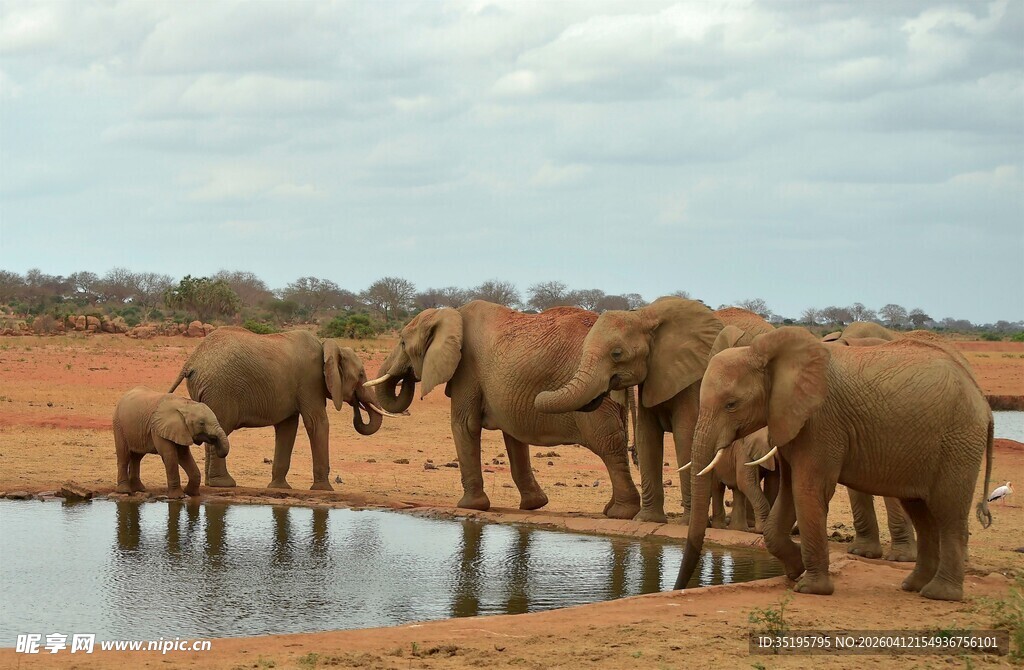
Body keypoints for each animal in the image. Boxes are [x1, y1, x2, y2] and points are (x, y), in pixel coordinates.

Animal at [169, 327, 395, 490]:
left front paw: (280, 488)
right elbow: (317, 423)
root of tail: (191, 361)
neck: (328, 347)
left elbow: (287, 428)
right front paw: (325, 489)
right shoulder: (310, 381)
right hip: (220, 390)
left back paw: (212, 484)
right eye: (362, 375)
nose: (357, 405)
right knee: (221, 428)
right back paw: (224, 484)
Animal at [365, 301, 641, 518]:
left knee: (609, 445)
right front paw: (533, 505)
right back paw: (610, 510)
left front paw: (469, 507)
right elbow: (514, 436)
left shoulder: (467, 369)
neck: (449, 314)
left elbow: (464, 425)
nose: (406, 376)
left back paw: (621, 513)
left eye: (402, 342)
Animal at [535, 297, 773, 523]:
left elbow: (685, 436)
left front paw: (686, 522)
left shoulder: (691, 379)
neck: (643, 315)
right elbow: (647, 436)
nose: (537, 395)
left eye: (617, 354)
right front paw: (647, 519)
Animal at [675, 327, 994, 601]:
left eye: (731, 404)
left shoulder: (821, 422)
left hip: (958, 441)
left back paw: (939, 594)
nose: (677, 589)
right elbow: (789, 493)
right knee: (920, 510)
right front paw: (795, 572)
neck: (765, 352)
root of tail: (984, 402)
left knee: (948, 509)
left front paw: (809, 588)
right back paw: (913, 586)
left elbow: (807, 490)